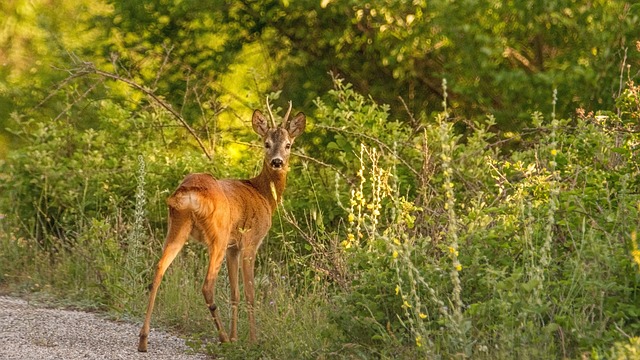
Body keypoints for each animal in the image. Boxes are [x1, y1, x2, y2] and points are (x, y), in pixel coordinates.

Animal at [137, 102, 304, 352]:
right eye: (266, 143)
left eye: (288, 144)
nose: (277, 161)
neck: (263, 194)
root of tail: (188, 193)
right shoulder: (250, 242)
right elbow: (250, 292)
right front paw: (252, 340)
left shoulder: (233, 247)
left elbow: (235, 293)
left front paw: (237, 338)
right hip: (218, 234)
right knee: (207, 285)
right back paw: (222, 338)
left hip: (177, 228)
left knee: (158, 270)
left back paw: (143, 340)